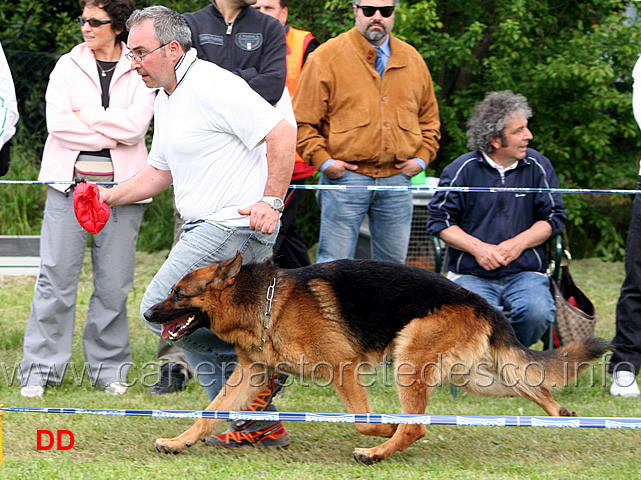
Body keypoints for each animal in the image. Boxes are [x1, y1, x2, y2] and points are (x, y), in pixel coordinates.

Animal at [146, 253, 608, 464]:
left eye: (179, 294)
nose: (148, 313)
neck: (266, 303)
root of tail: (481, 303)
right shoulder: (252, 374)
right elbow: (210, 413)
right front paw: (179, 441)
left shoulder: (343, 370)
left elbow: (364, 420)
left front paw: (383, 428)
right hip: (476, 378)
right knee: (536, 384)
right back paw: (562, 414)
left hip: (410, 360)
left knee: (416, 425)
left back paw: (380, 449)